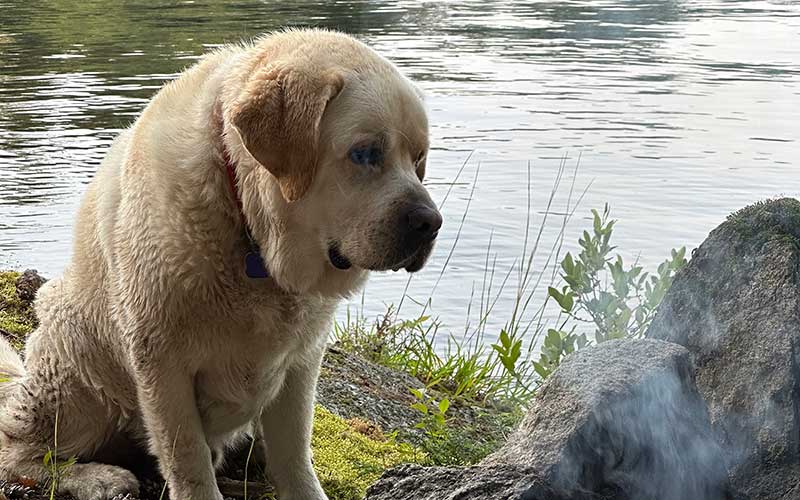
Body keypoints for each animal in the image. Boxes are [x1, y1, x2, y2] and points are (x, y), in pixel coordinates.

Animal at [0, 28, 438, 500]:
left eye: (418, 159)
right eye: (365, 153)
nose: (430, 223)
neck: (251, 235)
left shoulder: (301, 361)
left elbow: (294, 452)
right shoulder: (161, 362)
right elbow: (186, 455)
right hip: (77, 373)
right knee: (20, 453)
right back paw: (98, 477)